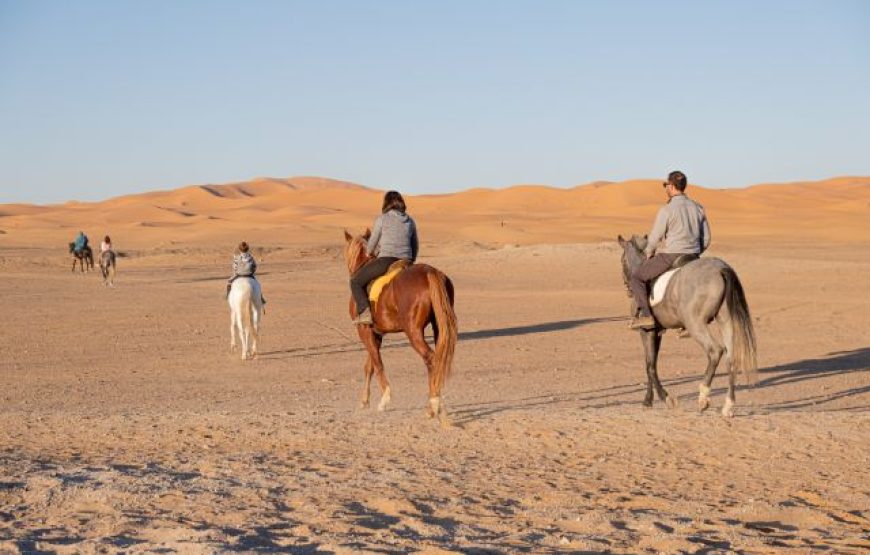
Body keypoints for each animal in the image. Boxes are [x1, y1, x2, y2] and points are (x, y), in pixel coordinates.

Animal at [343, 229, 458, 426]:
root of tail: (430, 272)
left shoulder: (364, 330)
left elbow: (377, 363)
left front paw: (384, 399)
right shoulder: (376, 333)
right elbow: (370, 365)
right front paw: (365, 400)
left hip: (413, 331)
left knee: (430, 358)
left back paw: (433, 405)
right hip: (439, 326)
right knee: (439, 357)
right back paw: (435, 405)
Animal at [617, 234, 757, 417]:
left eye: (622, 260)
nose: (628, 288)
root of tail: (721, 269)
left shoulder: (646, 331)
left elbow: (649, 366)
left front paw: (662, 399)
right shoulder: (657, 332)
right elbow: (653, 363)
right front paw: (651, 399)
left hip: (695, 324)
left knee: (715, 351)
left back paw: (703, 397)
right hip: (725, 320)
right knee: (731, 357)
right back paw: (728, 406)